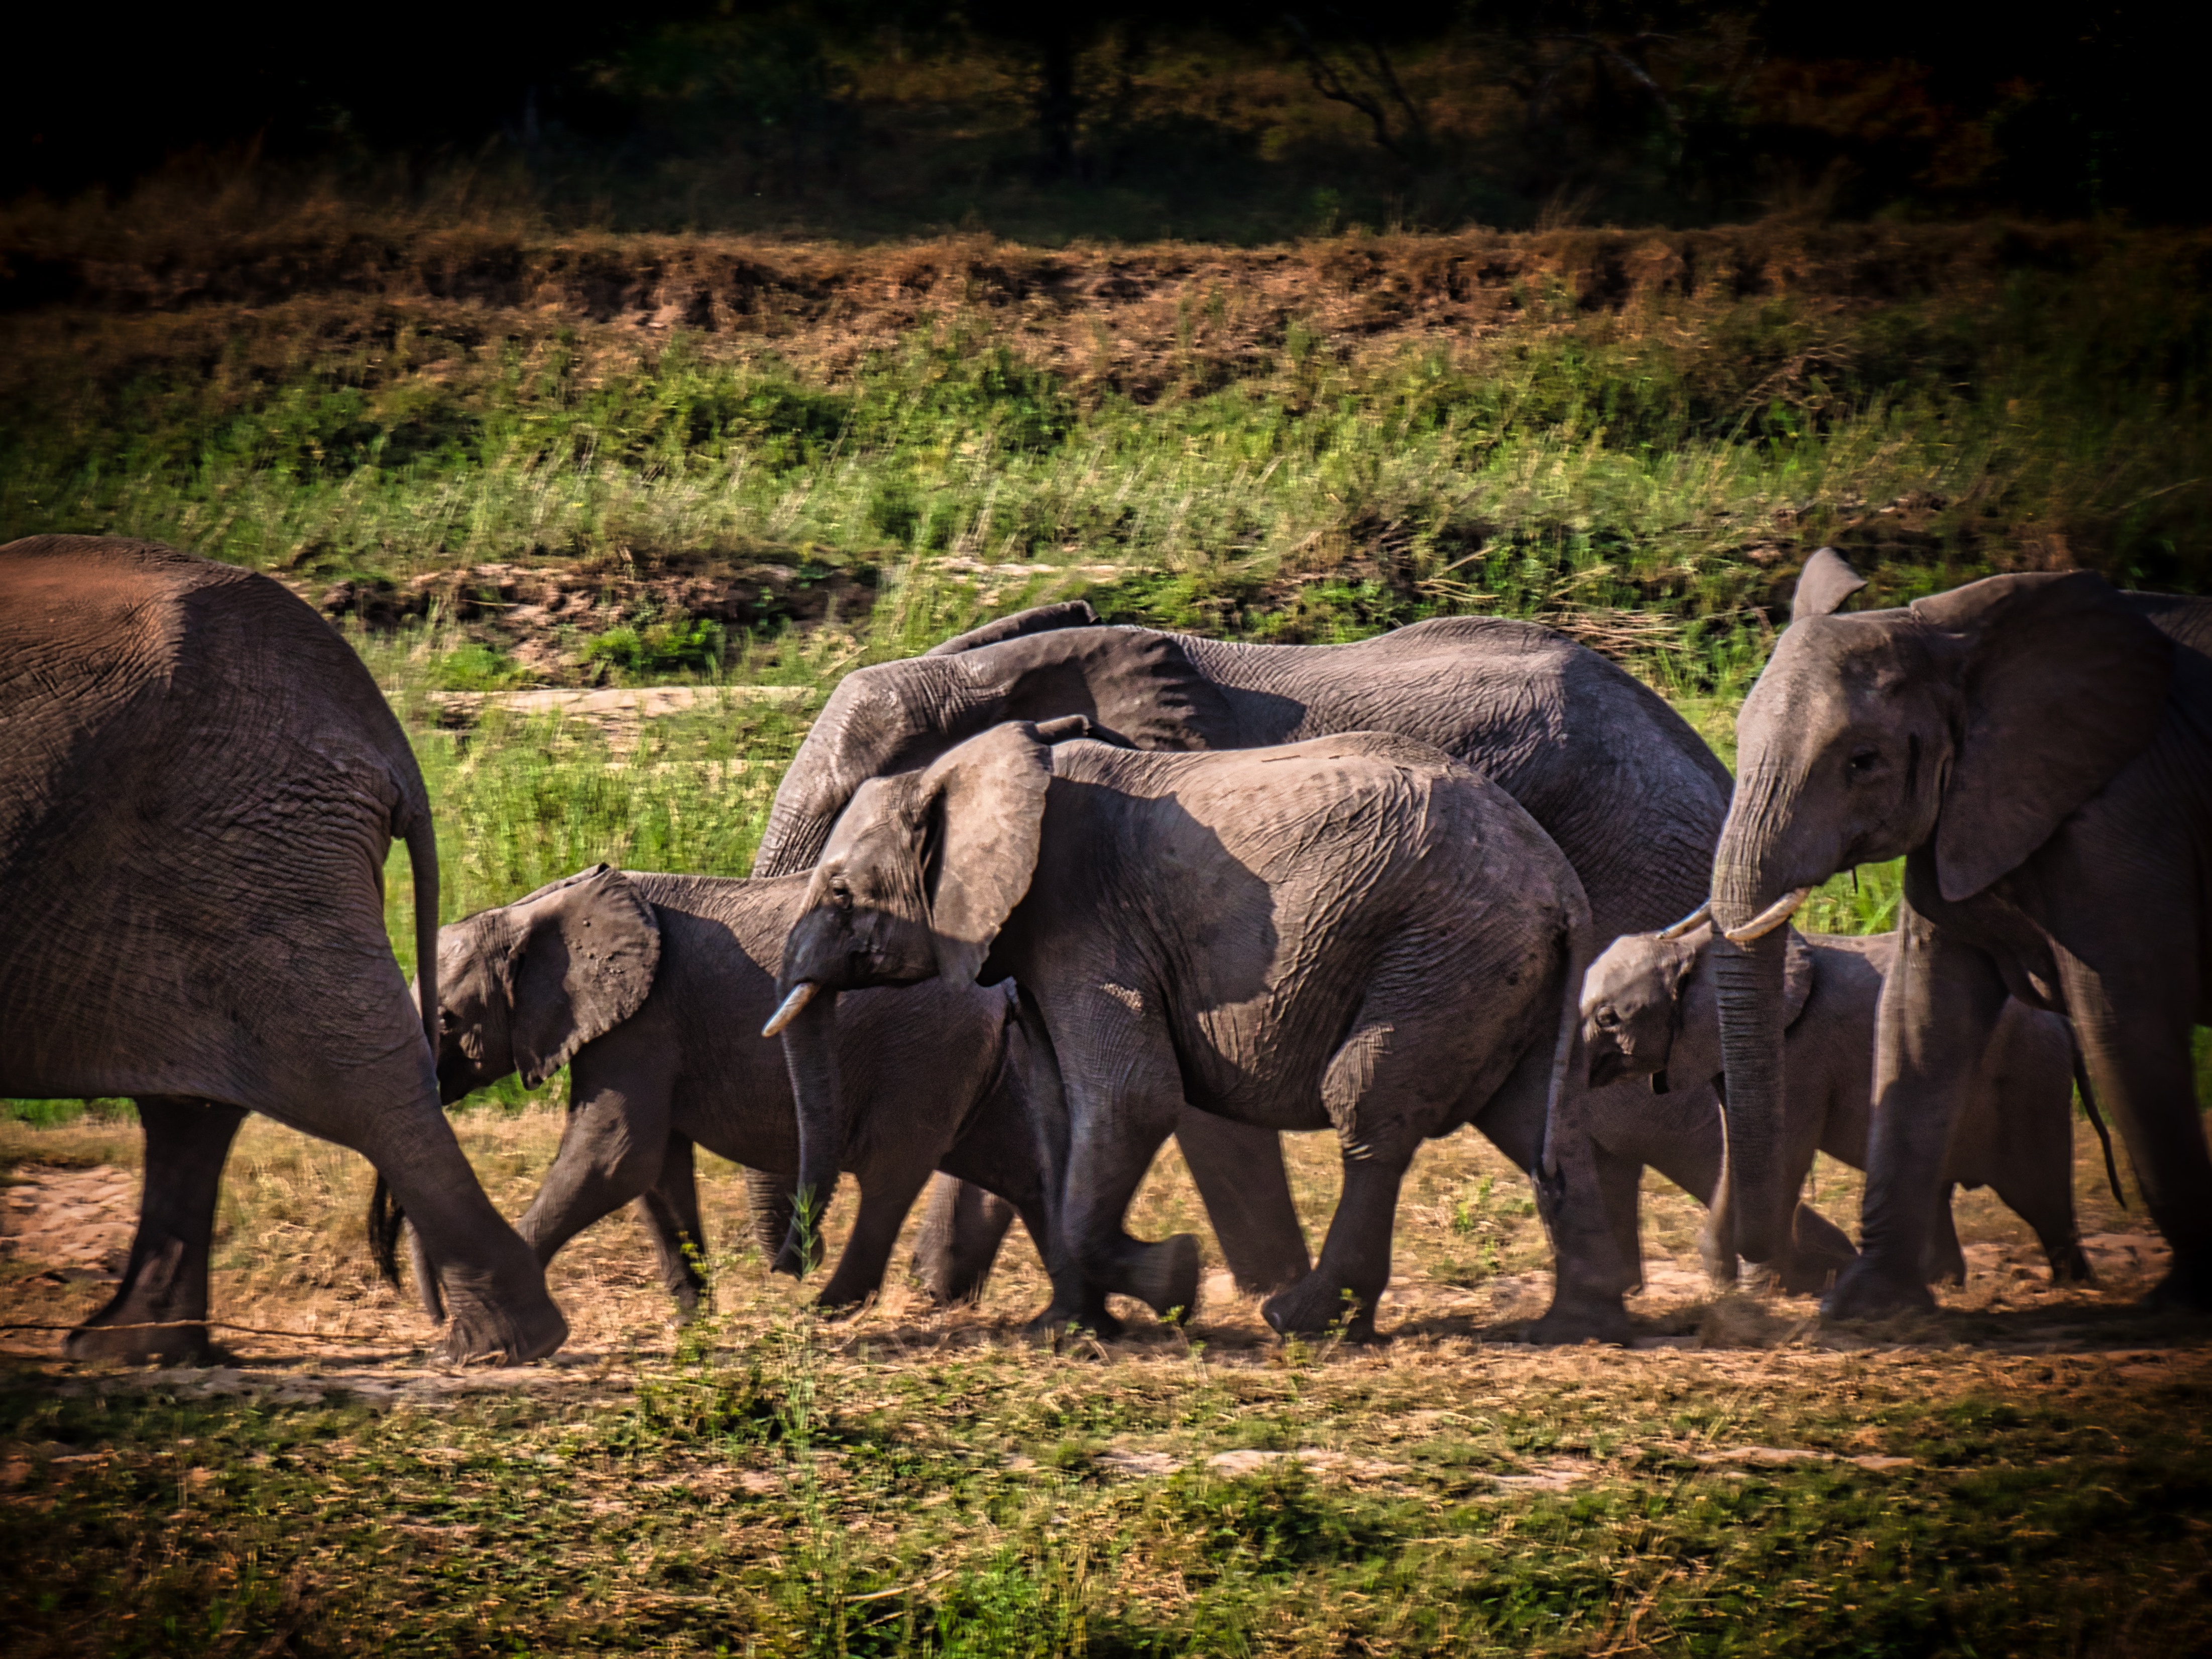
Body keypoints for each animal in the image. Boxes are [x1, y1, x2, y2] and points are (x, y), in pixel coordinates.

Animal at [0, 535, 565, 1364]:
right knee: (196, 1105)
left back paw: (496, 1347)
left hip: (244, 843)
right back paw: (127, 1350)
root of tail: (380, 732)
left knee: (358, 1084)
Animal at [379, 863, 1053, 1315]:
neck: (532, 909)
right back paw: (1074, 1321)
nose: (428, 1309)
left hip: (924, 1051)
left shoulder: (644, 1019)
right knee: (1019, 1166)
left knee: (890, 1175)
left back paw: (829, 1311)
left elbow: (615, 1157)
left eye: (448, 1022)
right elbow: (653, 1170)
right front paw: (694, 1320)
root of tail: (996, 984)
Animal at [750, 599, 1734, 1341]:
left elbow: (1149, 1099)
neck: (996, 677)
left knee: (1496, 1107)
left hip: (1563, 893)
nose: (795, 1278)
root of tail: (1705, 760)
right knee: (1544, 1116)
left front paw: (1180, 1279)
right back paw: (1586, 1317)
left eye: (837, 872)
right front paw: (1044, 1315)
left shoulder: (1117, 915)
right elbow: (1051, 1099)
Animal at [1582, 920, 2118, 1291]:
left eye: (1609, 1018)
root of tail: (2064, 1024)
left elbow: (1784, 1151)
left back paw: (2072, 1287)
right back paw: (1940, 1284)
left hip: (2029, 1084)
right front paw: (1729, 1284)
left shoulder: (1799, 1050)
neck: (1691, 948)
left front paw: (1759, 1289)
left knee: (2038, 1193)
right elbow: (1738, 1143)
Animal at [1707, 546, 2212, 1318]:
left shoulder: (2122, 818)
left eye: (1862, 762)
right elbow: (1919, 1020)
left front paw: (2182, 1304)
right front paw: (1863, 1308)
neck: (1954, 642)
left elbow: (2122, 1026)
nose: (1762, 1280)